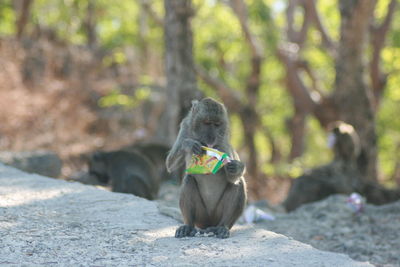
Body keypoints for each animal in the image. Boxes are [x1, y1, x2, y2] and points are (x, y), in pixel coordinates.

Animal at [166, 97, 247, 240]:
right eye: (207, 123)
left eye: (217, 125)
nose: (212, 137)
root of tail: (208, 224)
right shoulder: (185, 127)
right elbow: (170, 164)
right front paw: (189, 144)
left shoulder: (223, 143)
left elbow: (233, 177)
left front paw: (236, 167)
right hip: (201, 216)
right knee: (189, 179)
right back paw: (188, 226)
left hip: (217, 216)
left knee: (238, 183)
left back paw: (222, 227)